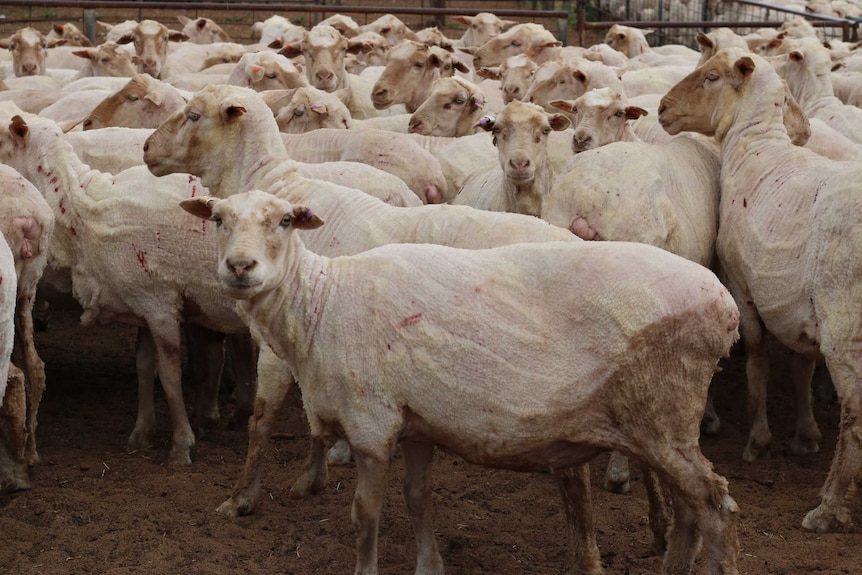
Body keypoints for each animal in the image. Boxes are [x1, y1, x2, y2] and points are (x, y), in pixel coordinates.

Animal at [181, 189, 744, 575]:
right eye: (218, 219)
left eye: (283, 221)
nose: (239, 267)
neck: (321, 301)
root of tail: (725, 305)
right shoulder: (415, 424)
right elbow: (417, 497)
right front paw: (430, 566)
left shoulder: (371, 425)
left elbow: (365, 514)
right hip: (661, 424)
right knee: (690, 510)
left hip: (662, 412)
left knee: (714, 505)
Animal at [660, 47, 862, 532]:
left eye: (712, 76)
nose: (661, 108)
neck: (755, 147)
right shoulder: (797, 308)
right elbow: (801, 369)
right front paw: (805, 438)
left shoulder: (741, 286)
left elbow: (755, 360)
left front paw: (758, 441)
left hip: (846, 326)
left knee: (855, 416)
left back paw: (827, 508)